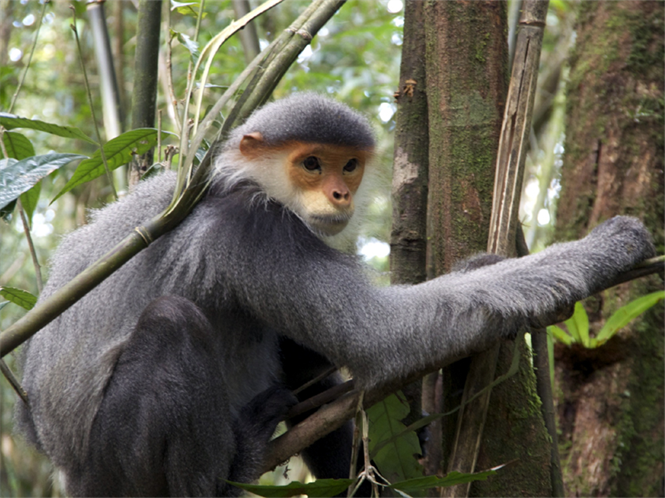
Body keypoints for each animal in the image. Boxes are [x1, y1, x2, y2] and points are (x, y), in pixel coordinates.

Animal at [14, 92, 652, 494]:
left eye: (348, 166)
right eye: (312, 164)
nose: (340, 195)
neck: (232, 184)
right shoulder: (258, 229)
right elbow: (380, 338)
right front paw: (604, 249)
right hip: (119, 468)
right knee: (174, 320)